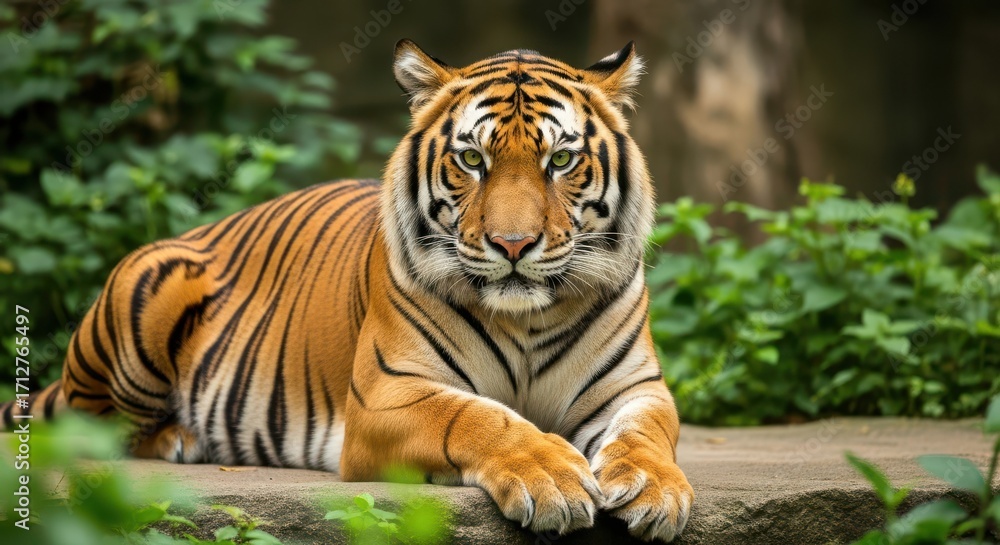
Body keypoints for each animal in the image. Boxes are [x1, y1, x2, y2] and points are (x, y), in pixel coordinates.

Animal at [2, 40, 693, 541]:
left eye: (560, 161)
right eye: (472, 161)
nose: (513, 244)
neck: (524, 319)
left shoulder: (636, 387)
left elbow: (647, 433)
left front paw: (658, 490)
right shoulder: (387, 395)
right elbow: (477, 417)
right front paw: (550, 475)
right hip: (146, 288)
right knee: (91, 424)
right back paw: (180, 439)